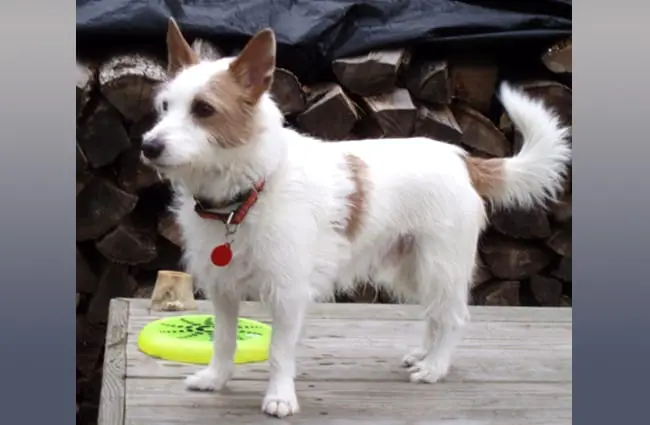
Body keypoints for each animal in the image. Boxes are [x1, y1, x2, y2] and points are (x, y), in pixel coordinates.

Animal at [140, 19, 568, 418]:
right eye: (164, 107)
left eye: (204, 110)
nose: (148, 146)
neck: (247, 192)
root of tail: (464, 159)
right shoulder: (223, 289)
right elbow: (224, 341)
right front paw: (216, 379)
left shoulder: (288, 294)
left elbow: (279, 351)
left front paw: (280, 397)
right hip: (411, 268)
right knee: (436, 314)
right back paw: (424, 355)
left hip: (438, 264)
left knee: (455, 317)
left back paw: (435, 367)